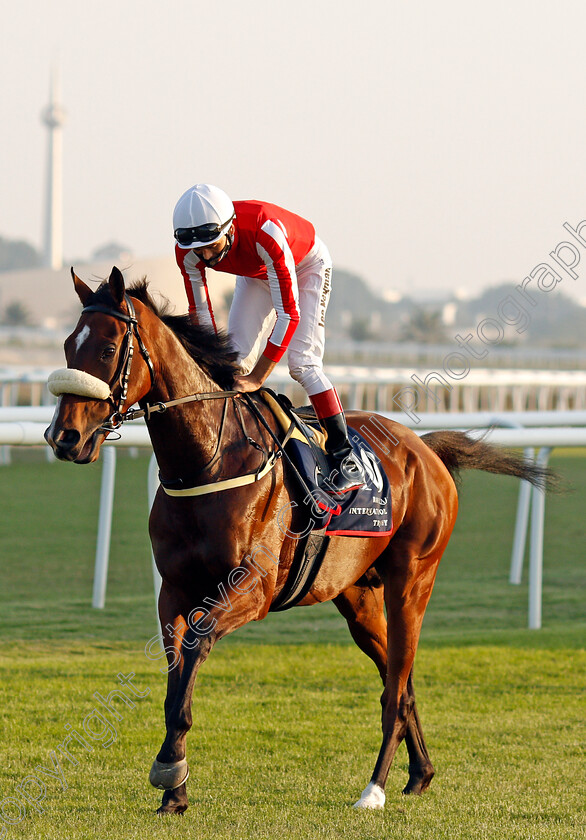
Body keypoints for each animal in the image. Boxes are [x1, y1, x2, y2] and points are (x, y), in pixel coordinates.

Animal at [44, 270, 548, 812]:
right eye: (68, 345)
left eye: (108, 348)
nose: (62, 437)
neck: (208, 462)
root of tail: (425, 449)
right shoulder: (174, 591)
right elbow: (176, 676)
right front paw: (174, 787)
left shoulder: (253, 589)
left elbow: (197, 652)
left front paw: (168, 771)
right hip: (358, 598)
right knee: (401, 676)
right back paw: (420, 774)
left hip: (412, 581)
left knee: (395, 688)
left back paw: (374, 788)